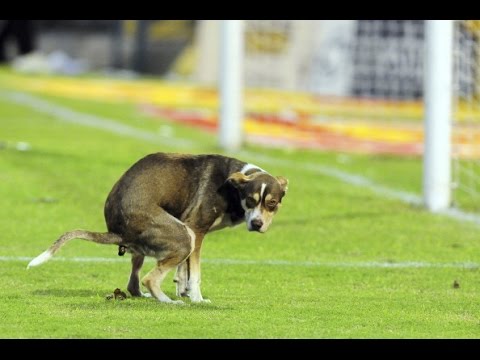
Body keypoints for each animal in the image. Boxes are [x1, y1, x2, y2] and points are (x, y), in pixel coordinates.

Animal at [28, 152, 288, 304]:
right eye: (251, 201)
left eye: (272, 203)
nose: (257, 224)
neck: (234, 186)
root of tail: (117, 231)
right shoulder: (195, 231)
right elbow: (195, 275)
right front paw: (196, 299)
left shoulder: (192, 235)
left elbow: (183, 272)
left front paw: (183, 289)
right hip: (182, 236)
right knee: (149, 279)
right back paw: (167, 301)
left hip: (151, 248)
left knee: (134, 285)